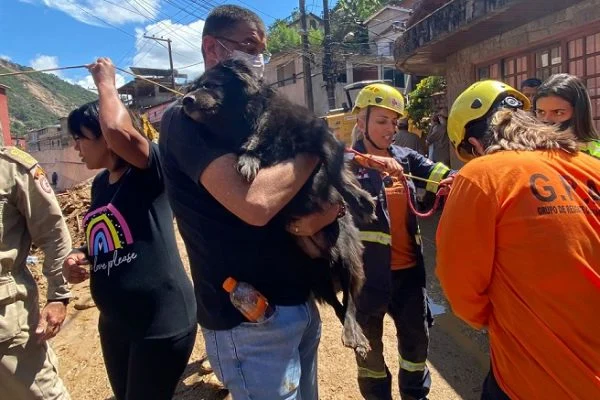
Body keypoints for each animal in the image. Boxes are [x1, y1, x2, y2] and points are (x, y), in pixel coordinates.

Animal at [183, 58, 372, 356]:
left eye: (209, 85)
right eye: (190, 88)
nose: (185, 101)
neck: (246, 124)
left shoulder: (319, 135)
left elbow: (334, 170)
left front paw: (359, 200)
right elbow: (251, 152)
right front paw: (249, 158)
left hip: (348, 258)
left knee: (351, 301)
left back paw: (356, 333)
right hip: (312, 274)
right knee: (339, 305)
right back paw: (351, 330)